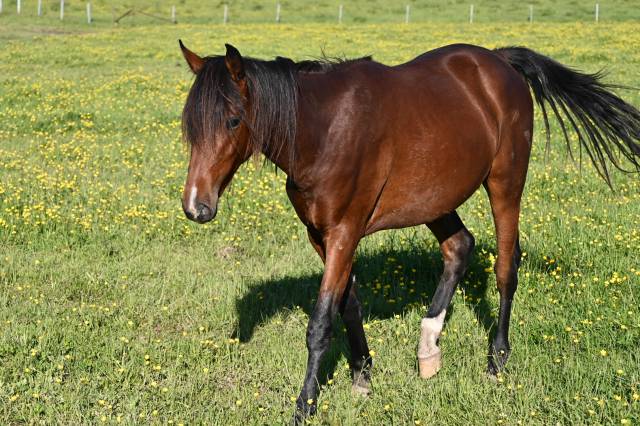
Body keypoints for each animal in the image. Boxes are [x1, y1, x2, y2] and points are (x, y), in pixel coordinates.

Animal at [177, 40, 640, 422]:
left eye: (233, 120)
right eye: (190, 126)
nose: (197, 207)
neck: (323, 130)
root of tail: (498, 61)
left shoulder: (345, 230)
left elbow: (321, 322)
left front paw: (305, 405)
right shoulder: (321, 235)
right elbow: (348, 304)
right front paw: (363, 375)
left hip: (505, 184)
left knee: (506, 267)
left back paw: (496, 361)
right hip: (435, 196)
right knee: (459, 246)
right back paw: (429, 346)